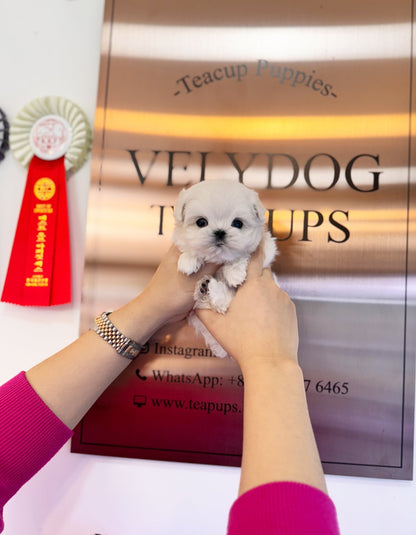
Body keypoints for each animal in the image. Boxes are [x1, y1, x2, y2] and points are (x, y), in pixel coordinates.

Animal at [171, 180, 278, 360]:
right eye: (201, 222)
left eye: (238, 223)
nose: (220, 232)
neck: (218, 259)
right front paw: (189, 259)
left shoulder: (267, 249)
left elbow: (241, 255)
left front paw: (234, 273)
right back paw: (205, 288)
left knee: (223, 302)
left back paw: (211, 288)